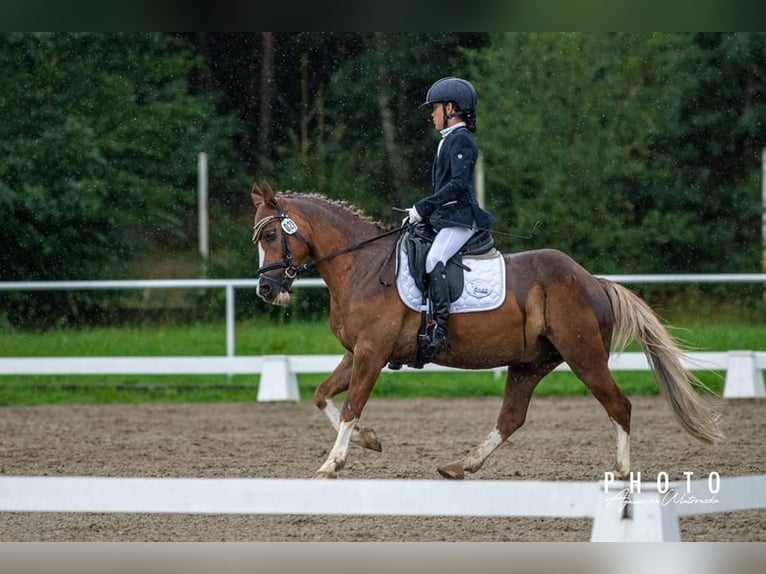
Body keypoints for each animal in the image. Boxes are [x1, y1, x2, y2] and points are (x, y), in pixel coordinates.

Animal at [250, 180, 722, 479]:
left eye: (271, 234)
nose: (266, 289)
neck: (362, 266)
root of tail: (592, 281)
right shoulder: (357, 352)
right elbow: (322, 395)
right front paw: (369, 440)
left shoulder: (372, 352)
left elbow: (350, 406)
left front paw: (332, 464)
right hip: (531, 362)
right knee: (511, 417)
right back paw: (461, 465)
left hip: (583, 355)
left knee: (619, 405)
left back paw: (622, 474)